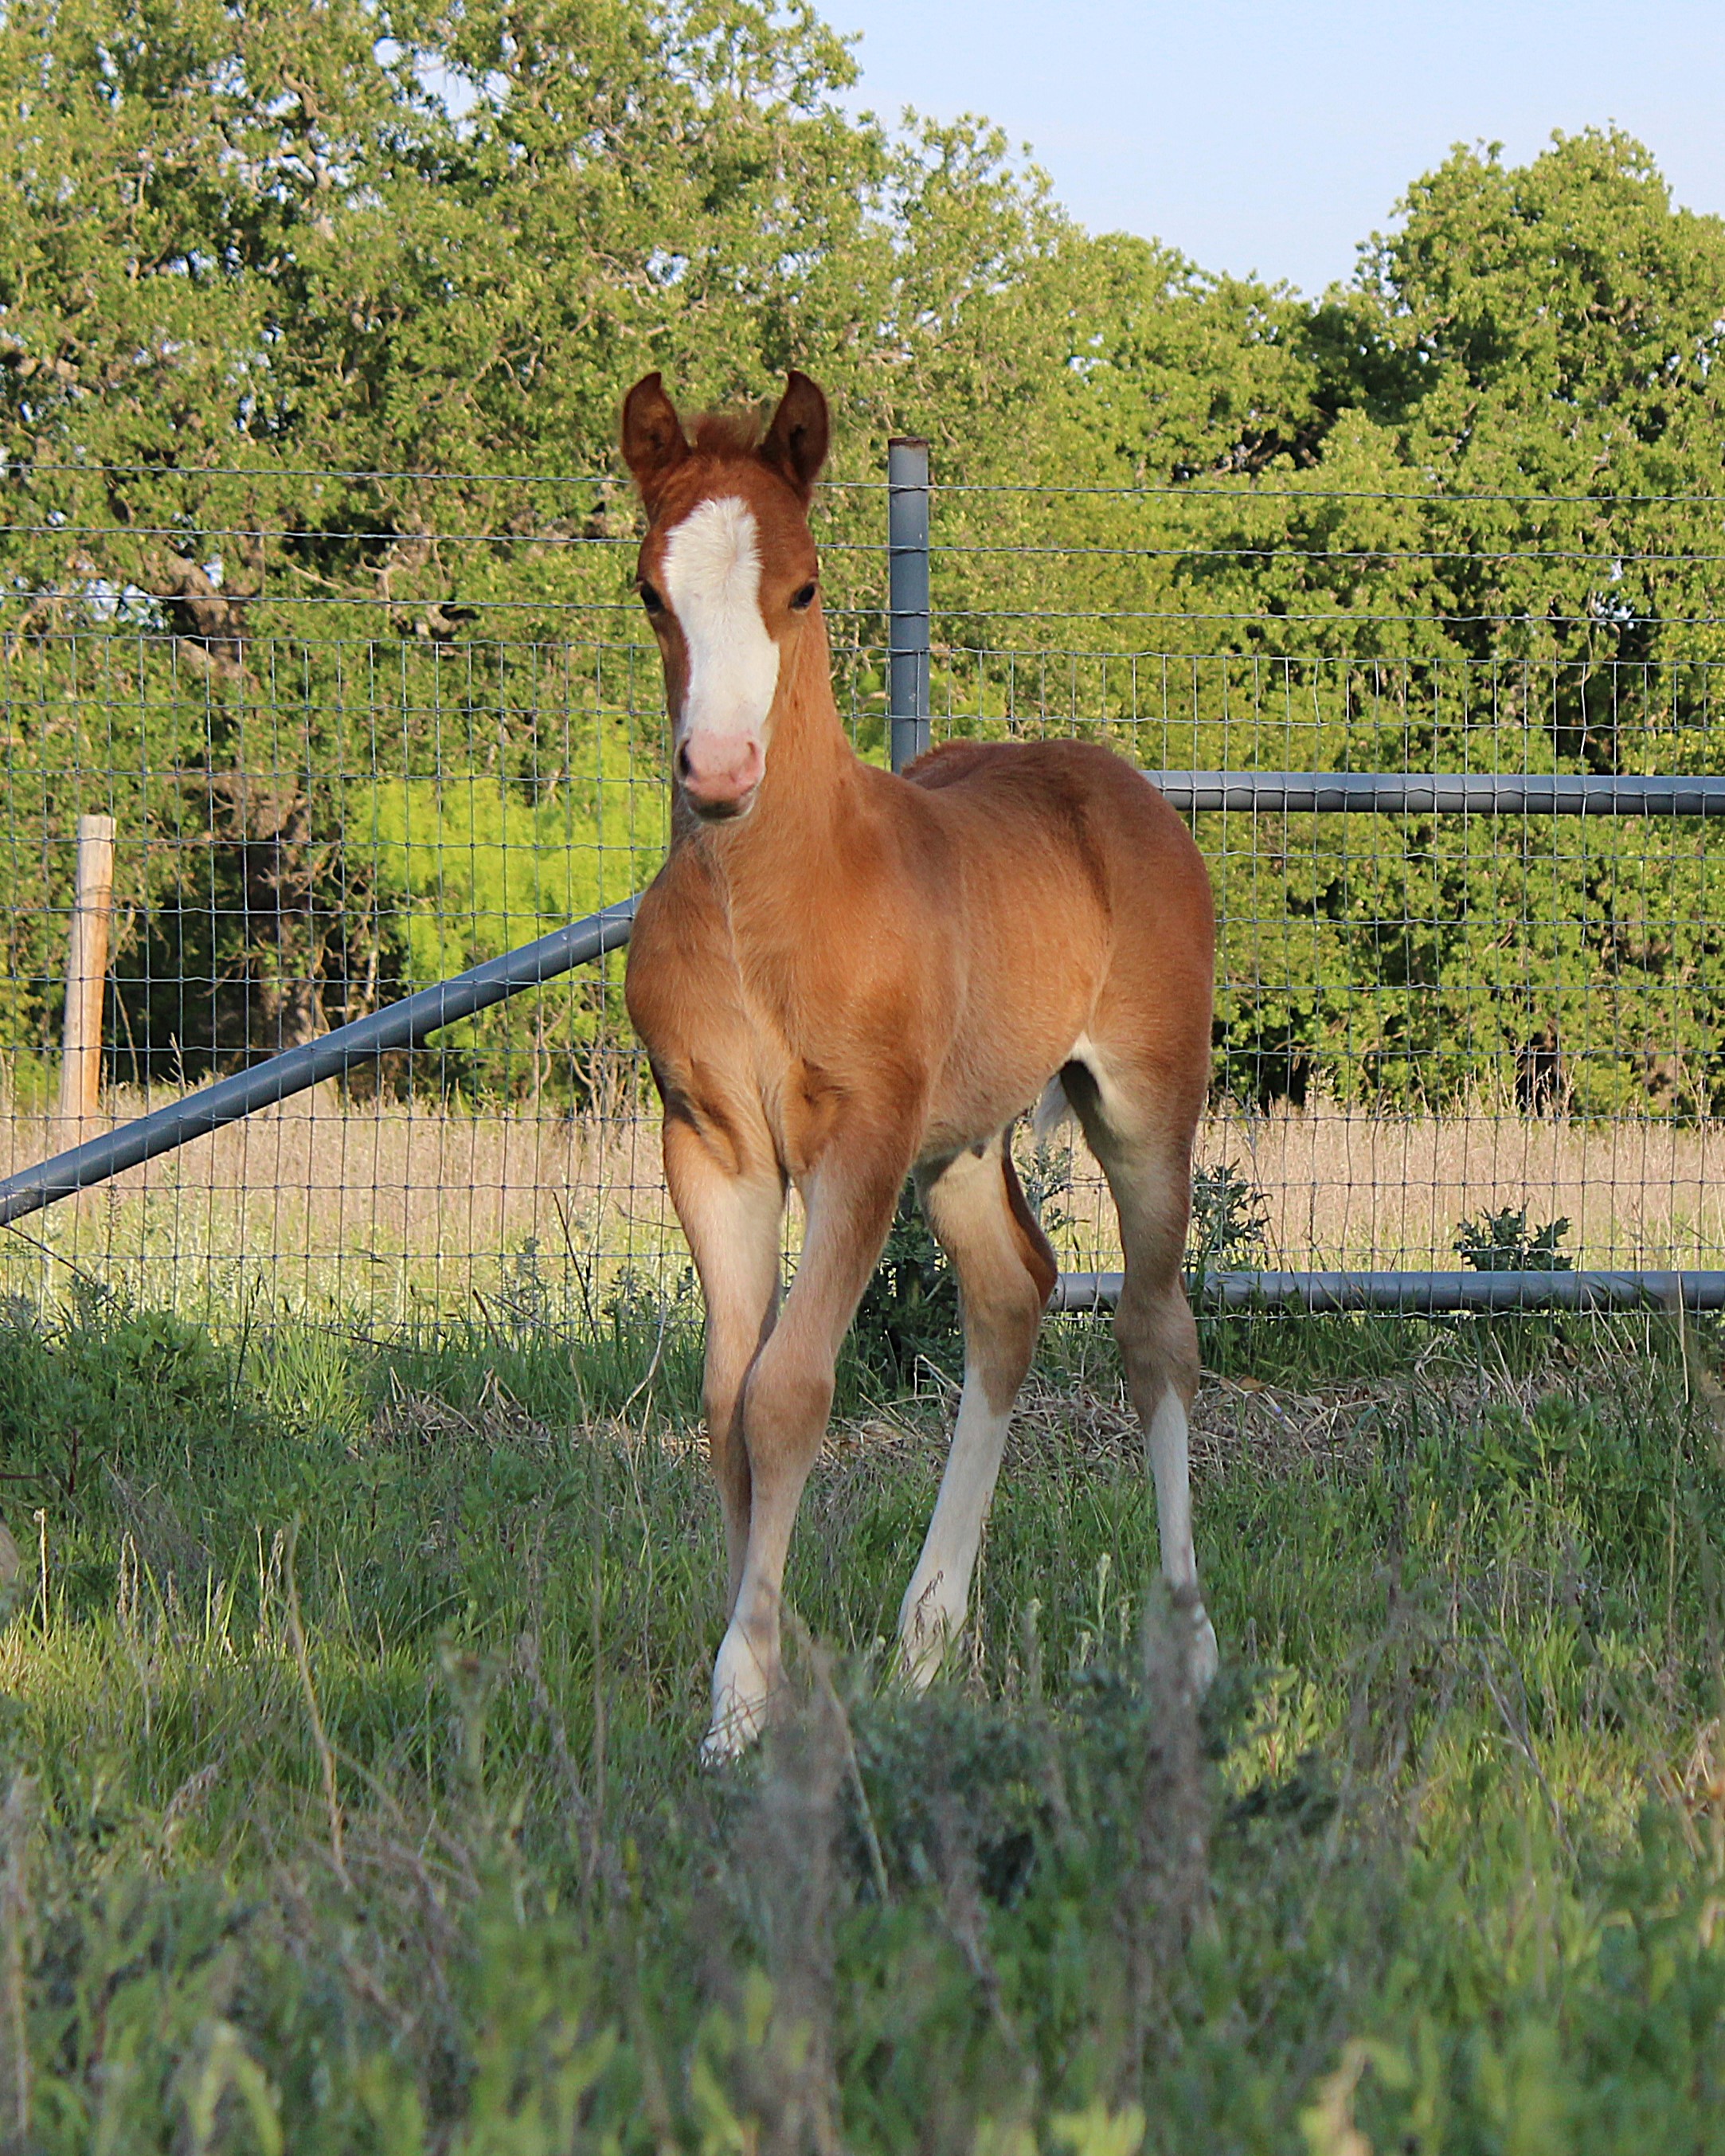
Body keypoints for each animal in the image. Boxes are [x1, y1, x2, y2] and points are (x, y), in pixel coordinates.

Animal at [620, 370, 1218, 1759]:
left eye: (801, 588)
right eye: (652, 590)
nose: (718, 769)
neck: (765, 900)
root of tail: (1120, 783)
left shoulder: (862, 1140)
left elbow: (786, 1393)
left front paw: (740, 1702)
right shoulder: (710, 1144)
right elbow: (724, 1403)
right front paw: (750, 1687)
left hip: (1144, 1102)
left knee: (1154, 1325)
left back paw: (1184, 1644)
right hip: (962, 1141)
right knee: (1011, 1294)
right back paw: (931, 1636)